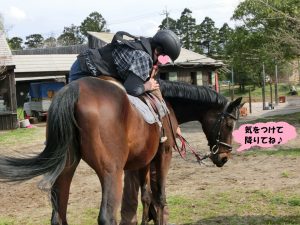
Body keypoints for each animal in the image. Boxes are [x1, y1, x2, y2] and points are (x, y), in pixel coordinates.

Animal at [0, 76, 241, 224]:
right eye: (230, 124)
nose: (224, 157)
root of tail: (73, 90)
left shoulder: (144, 161)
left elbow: (146, 197)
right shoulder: (163, 155)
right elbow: (160, 197)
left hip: (66, 168)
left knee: (59, 215)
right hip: (111, 172)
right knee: (107, 217)